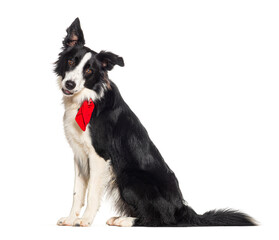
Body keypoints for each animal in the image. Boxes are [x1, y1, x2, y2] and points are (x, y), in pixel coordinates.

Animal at [54, 17, 256, 226]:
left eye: (89, 70)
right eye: (70, 61)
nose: (69, 84)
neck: (86, 99)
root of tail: (181, 209)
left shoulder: (99, 155)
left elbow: (92, 192)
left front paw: (85, 220)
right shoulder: (79, 155)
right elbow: (77, 192)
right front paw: (71, 218)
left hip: (128, 177)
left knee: (160, 219)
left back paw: (126, 221)